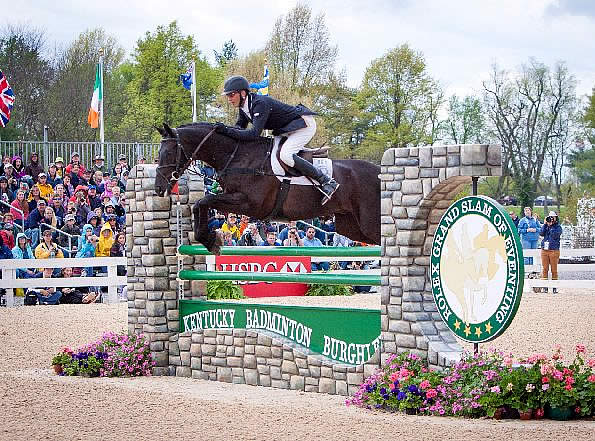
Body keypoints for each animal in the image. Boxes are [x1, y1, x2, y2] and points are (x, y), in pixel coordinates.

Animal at [155, 123, 382, 254]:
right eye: (158, 154)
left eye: (169, 153)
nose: (158, 189)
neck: (238, 155)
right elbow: (199, 204)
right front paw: (210, 239)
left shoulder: (250, 204)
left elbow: (204, 201)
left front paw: (211, 241)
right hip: (351, 227)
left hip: (369, 223)